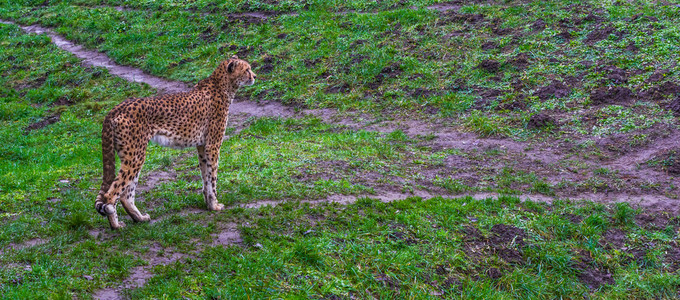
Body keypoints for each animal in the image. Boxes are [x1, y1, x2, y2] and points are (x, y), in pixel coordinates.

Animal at [94, 55, 256, 230]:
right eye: (247, 69)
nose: (254, 76)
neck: (223, 84)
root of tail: (117, 107)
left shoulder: (202, 146)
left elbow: (205, 176)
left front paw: (208, 205)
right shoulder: (213, 145)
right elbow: (212, 178)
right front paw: (215, 206)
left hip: (131, 155)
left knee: (125, 194)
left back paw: (140, 218)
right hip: (135, 155)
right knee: (112, 193)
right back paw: (116, 226)